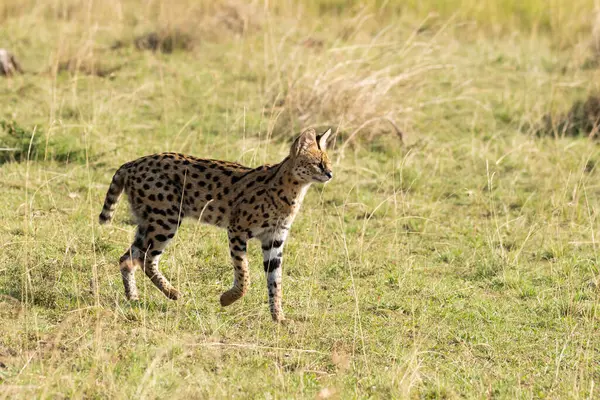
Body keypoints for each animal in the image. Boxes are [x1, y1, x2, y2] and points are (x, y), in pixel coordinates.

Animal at [98, 129, 332, 322]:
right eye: (318, 163)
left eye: (329, 162)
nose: (330, 174)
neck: (294, 190)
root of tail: (132, 163)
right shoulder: (237, 230)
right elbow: (244, 275)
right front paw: (227, 299)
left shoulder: (274, 240)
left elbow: (275, 281)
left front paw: (278, 317)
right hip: (166, 220)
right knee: (145, 258)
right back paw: (172, 292)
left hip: (150, 222)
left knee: (127, 258)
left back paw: (134, 297)